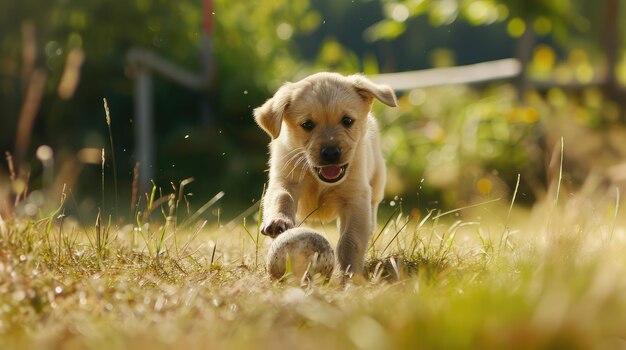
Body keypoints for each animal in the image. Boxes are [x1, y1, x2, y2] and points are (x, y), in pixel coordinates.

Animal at [250, 72, 392, 274]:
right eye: (307, 124)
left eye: (347, 121)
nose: (331, 153)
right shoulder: (284, 180)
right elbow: (282, 197)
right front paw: (278, 221)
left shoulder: (355, 197)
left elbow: (350, 240)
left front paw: (350, 273)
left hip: (377, 184)